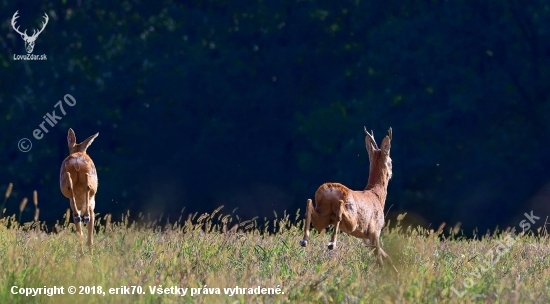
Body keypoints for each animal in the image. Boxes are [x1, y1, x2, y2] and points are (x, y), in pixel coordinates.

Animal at [300, 127, 398, 270]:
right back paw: (331, 243)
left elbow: (384, 255)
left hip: (323, 215)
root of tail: (330, 190)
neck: (377, 195)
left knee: (310, 205)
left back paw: (304, 241)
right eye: (391, 162)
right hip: (352, 220)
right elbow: (379, 257)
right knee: (340, 211)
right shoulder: (375, 230)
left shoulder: (366, 238)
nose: (391, 174)